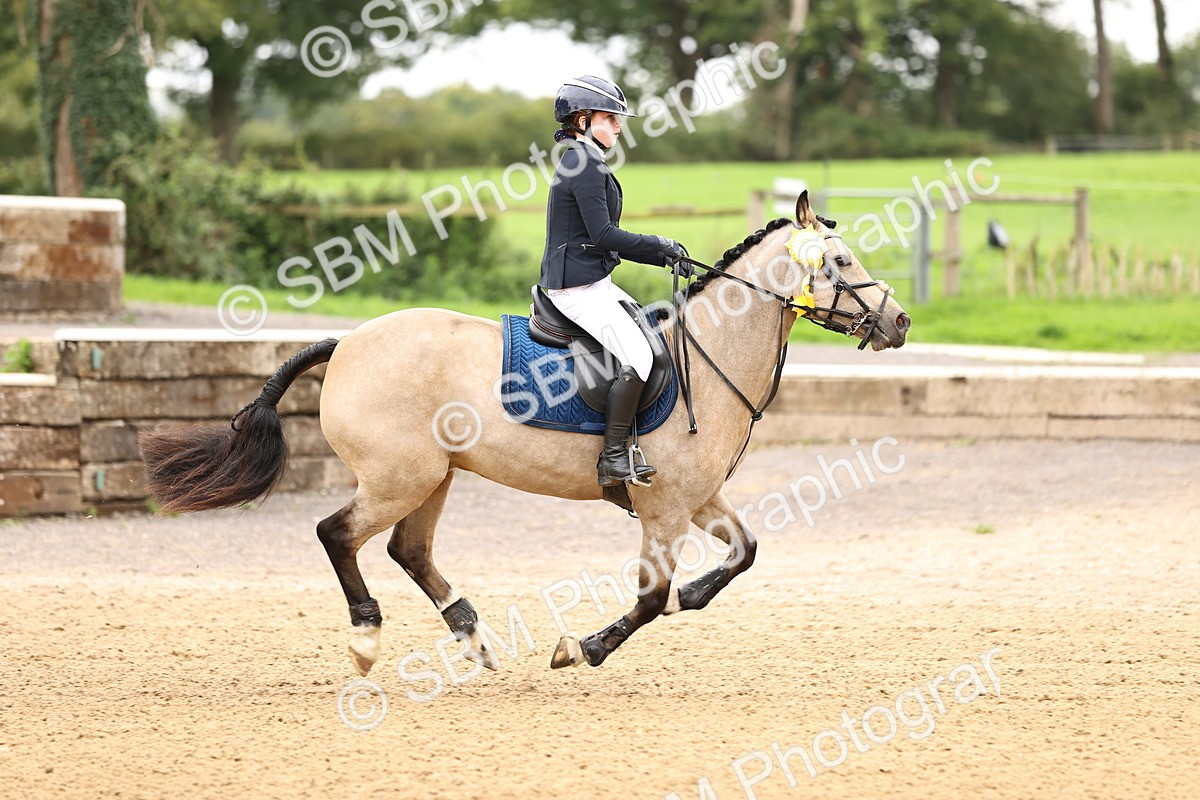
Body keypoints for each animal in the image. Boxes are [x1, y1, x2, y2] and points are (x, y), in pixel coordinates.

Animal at [138, 191, 910, 676]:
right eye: (841, 263)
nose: (899, 321)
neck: (712, 349)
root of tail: (348, 343)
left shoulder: (696, 499)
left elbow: (744, 553)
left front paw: (691, 597)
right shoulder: (663, 508)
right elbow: (648, 599)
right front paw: (583, 648)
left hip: (435, 477)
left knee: (407, 549)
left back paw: (474, 637)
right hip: (399, 477)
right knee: (339, 534)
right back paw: (366, 639)